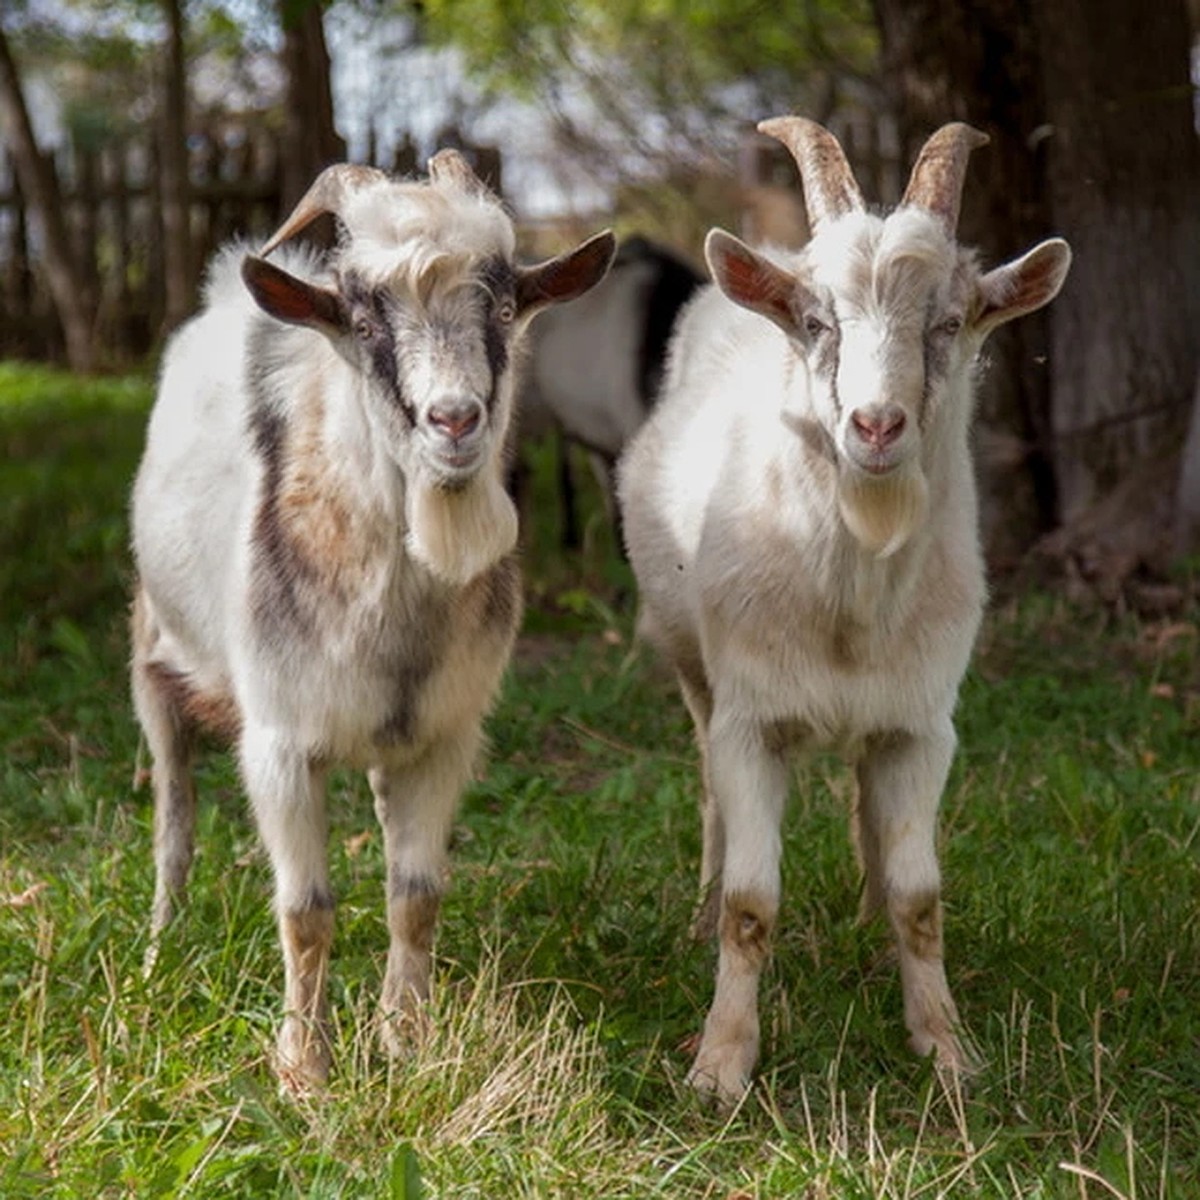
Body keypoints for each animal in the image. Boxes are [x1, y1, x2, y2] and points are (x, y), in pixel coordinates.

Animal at [131, 150, 614, 1089]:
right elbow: (306, 909)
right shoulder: (279, 743)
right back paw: (161, 945)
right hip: (150, 655)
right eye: (360, 317)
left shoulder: (444, 735)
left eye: (505, 305)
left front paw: (408, 1042)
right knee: (172, 813)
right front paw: (304, 1069)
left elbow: (416, 896)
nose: (455, 420)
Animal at [619, 121, 1070, 1104]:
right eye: (817, 322)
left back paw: (866, 921)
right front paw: (721, 1064)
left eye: (950, 321)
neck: (849, 603)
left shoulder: (924, 724)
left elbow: (921, 898)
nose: (876, 427)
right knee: (706, 783)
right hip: (689, 663)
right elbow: (752, 905)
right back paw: (697, 911)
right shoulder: (750, 719)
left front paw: (946, 1048)